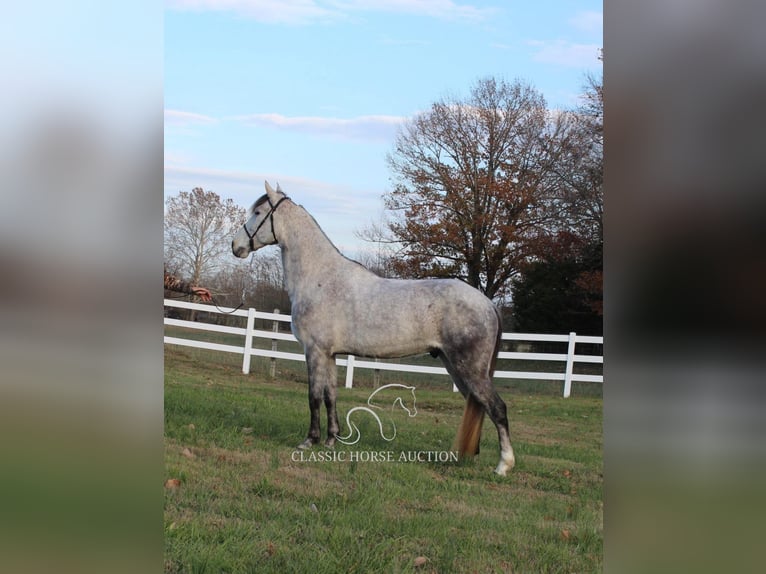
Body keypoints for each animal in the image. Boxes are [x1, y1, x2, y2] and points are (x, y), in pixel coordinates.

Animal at [230, 183, 516, 476]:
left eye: (258, 212)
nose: (235, 246)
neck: (321, 278)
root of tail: (488, 304)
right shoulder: (330, 355)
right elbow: (330, 396)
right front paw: (332, 440)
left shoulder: (315, 351)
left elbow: (314, 397)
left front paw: (309, 440)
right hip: (455, 367)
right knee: (479, 406)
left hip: (469, 369)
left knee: (497, 407)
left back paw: (503, 466)